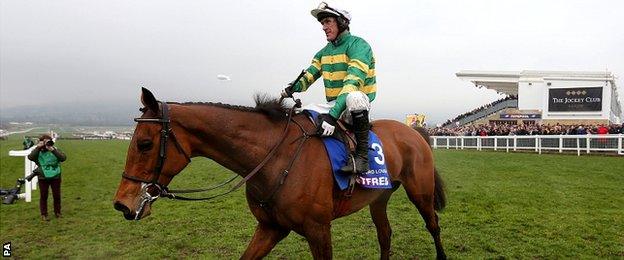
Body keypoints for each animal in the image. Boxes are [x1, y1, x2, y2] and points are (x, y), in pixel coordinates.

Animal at [111, 88, 444, 258]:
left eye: (144, 143)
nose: (123, 203)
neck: (275, 157)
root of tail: (415, 130)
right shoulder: (271, 227)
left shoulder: (318, 230)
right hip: (379, 197)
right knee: (385, 234)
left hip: (420, 192)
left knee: (433, 225)